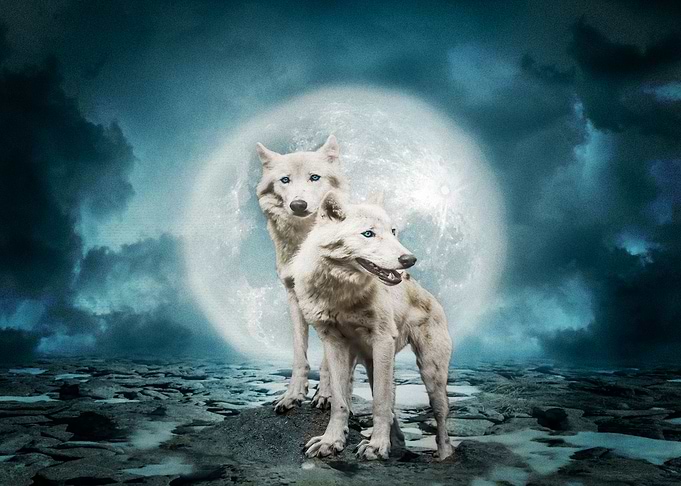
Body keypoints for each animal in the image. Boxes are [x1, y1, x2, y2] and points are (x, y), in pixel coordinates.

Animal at [256, 135, 348, 412]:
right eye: (285, 180)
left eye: (314, 177)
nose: (298, 205)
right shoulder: (293, 297)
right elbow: (299, 355)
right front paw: (292, 395)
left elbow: (330, 361)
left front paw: (326, 395)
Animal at [291, 191, 454, 461]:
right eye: (368, 234)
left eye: (393, 231)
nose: (409, 260)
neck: (341, 293)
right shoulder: (332, 342)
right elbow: (340, 401)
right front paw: (331, 441)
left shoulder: (382, 340)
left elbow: (380, 402)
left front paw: (376, 446)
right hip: (371, 364)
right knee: (392, 410)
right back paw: (396, 443)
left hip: (430, 372)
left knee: (440, 416)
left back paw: (443, 455)